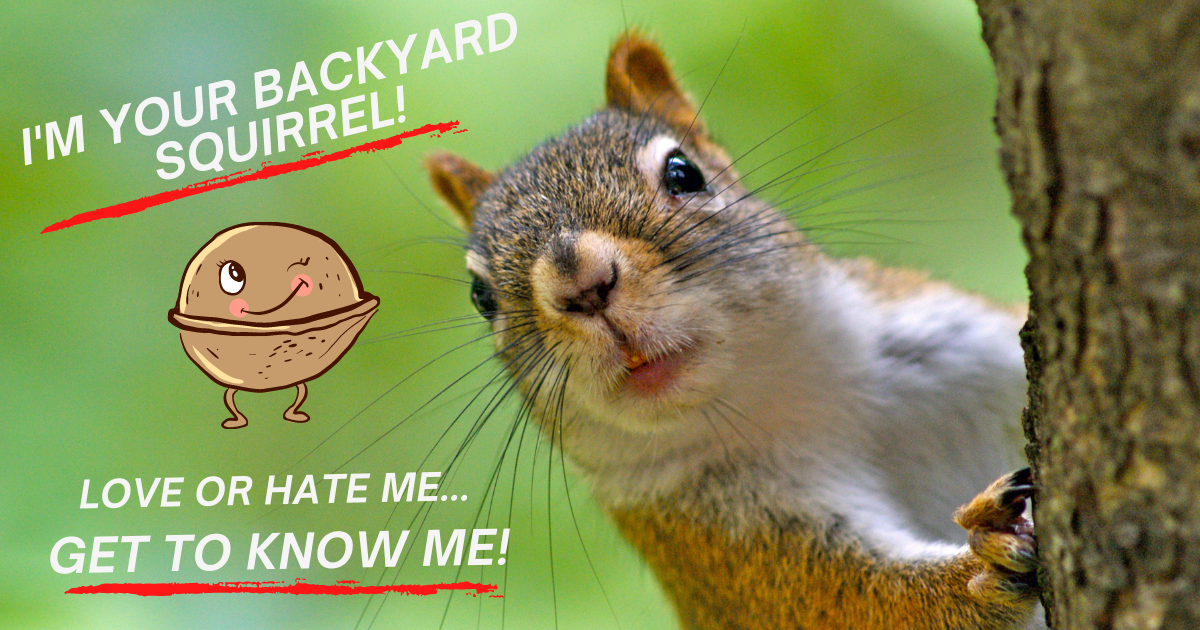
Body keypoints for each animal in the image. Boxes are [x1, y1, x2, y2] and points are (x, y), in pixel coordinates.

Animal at [424, 32, 1041, 630]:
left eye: (683, 172)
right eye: (481, 296)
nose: (582, 284)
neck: (785, 396)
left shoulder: (956, 337)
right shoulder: (725, 544)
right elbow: (853, 603)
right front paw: (981, 564)